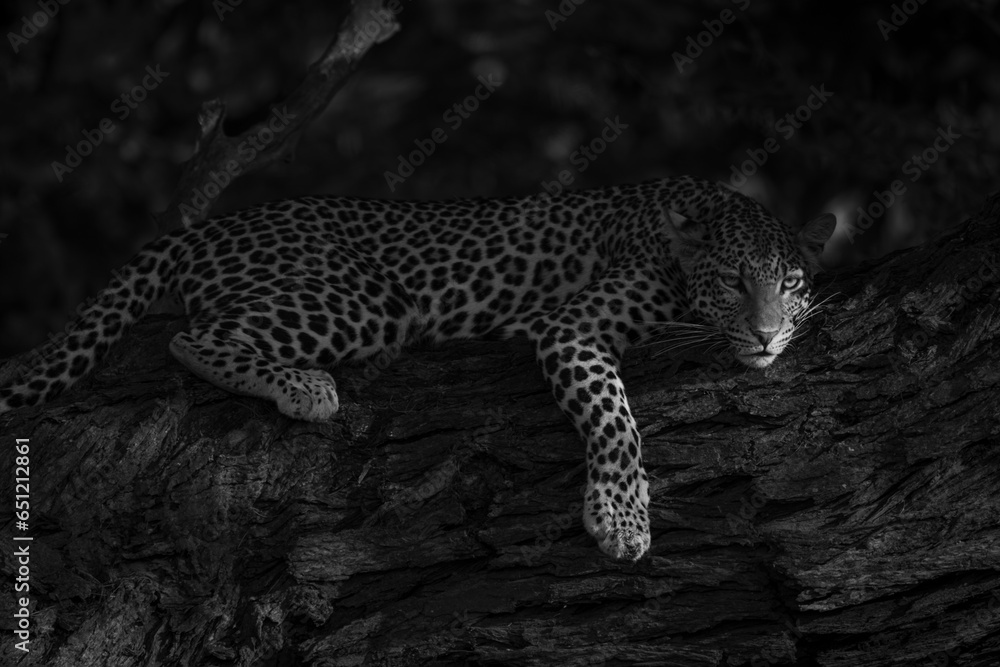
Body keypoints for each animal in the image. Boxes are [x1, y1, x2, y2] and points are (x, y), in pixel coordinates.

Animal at [0, 175, 835, 561]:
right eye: (736, 281)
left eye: (790, 284)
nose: (767, 336)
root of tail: (208, 226)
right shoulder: (573, 327)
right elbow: (616, 421)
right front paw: (622, 518)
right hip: (363, 300)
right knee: (190, 338)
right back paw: (305, 386)